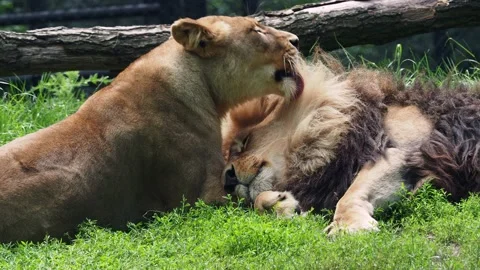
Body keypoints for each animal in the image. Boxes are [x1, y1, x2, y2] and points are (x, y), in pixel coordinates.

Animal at [0, 15, 304, 242]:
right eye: (257, 30)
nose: (296, 40)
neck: (203, 86)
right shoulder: (198, 203)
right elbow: (246, 202)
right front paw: (281, 204)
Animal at [222, 52, 480, 234]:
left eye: (245, 141)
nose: (228, 178)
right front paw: (280, 204)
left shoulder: (401, 150)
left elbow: (351, 193)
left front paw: (347, 227)